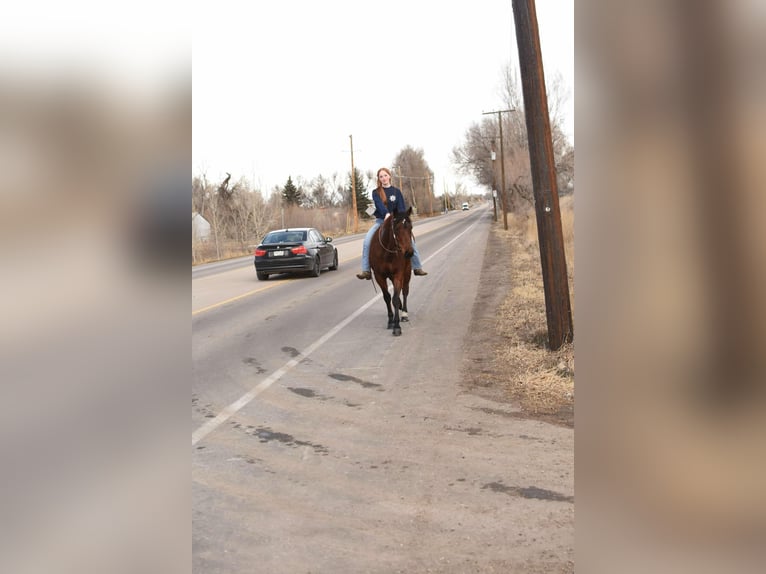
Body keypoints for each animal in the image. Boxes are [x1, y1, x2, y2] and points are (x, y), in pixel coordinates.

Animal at [369, 207, 414, 336]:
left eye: (411, 227)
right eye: (397, 228)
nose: (409, 252)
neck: (387, 253)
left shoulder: (398, 274)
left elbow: (395, 299)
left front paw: (397, 325)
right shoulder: (379, 276)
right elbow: (387, 297)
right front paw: (390, 321)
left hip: (407, 273)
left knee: (405, 291)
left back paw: (404, 314)